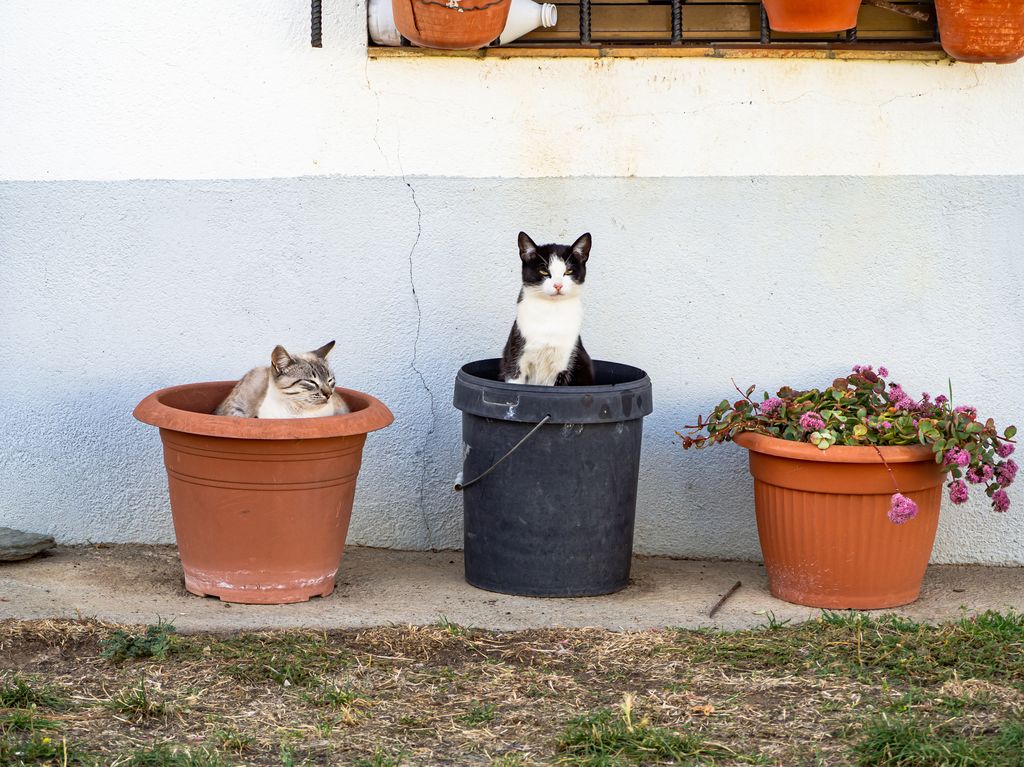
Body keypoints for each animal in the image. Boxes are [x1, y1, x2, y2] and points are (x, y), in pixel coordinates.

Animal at [497, 226, 593, 382]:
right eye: (543, 271)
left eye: (569, 271)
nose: (558, 285)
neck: (551, 310)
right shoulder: (515, 359)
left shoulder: (565, 362)